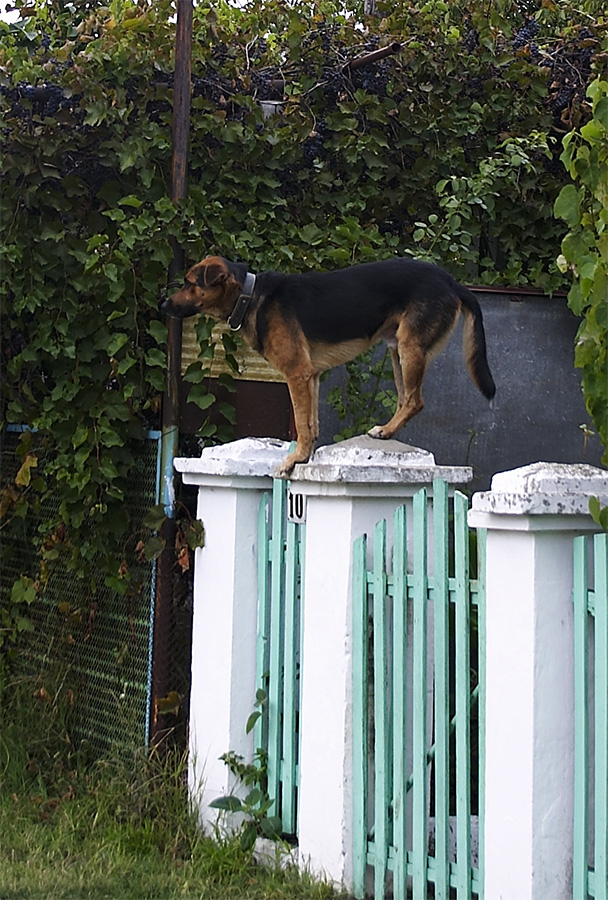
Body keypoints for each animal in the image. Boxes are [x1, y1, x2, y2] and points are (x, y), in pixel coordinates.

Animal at [162, 255, 494, 474]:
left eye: (189, 283)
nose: (163, 305)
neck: (251, 296)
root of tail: (451, 281)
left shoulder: (297, 374)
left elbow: (301, 423)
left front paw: (295, 459)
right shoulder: (312, 376)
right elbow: (311, 422)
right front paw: (306, 454)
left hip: (410, 348)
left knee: (415, 400)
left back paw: (385, 431)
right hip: (398, 350)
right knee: (405, 399)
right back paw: (386, 430)